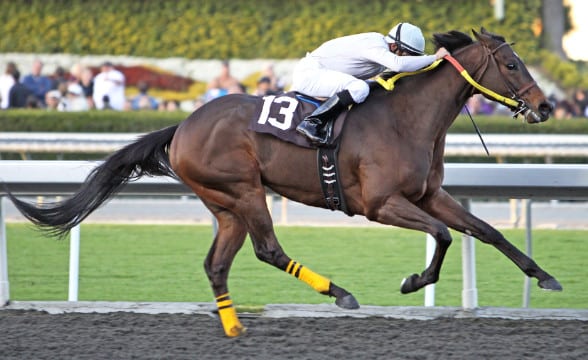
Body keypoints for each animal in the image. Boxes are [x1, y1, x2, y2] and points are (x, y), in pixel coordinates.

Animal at [6, 28, 560, 338]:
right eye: (511, 64)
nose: (547, 106)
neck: (407, 118)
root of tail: (183, 125)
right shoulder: (381, 203)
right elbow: (443, 236)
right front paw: (412, 281)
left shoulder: (430, 195)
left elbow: (485, 230)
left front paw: (545, 277)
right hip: (245, 190)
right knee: (268, 248)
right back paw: (339, 293)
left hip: (225, 203)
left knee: (217, 264)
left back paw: (234, 327)